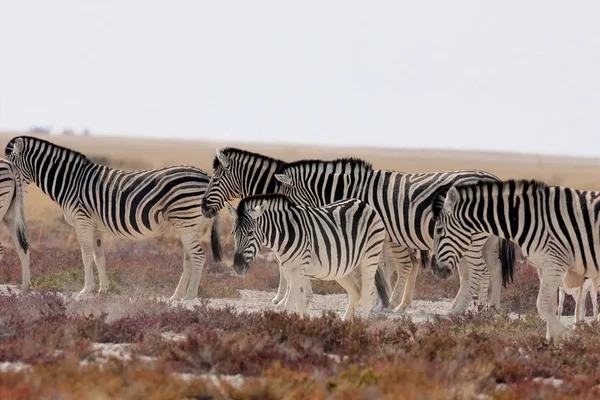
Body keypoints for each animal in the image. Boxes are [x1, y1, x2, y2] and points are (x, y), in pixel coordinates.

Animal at [4, 137, 223, 300]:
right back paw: (176, 296)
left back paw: (190, 297)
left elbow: (86, 255)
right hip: (188, 224)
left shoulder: (82, 221)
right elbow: (98, 256)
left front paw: (85, 290)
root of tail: (206, 176)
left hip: (186, 221)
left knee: (198, 256)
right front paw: (103, 290)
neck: (70, 181)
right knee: (189, 258)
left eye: (8, 161)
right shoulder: (96, 225)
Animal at [226, 192, 390, 320]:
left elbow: (290, 302)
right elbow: (298, 300)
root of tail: (363, 203)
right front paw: (304, 323)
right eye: (233, 233)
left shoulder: (298, 269)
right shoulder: (290, 270)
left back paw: (361, 326)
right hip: (342, 267)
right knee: (356, 293)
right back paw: (346, 325)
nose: (238, 267)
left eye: (250, 233)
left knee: (367, 294)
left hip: (370, 256)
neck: (285, 232)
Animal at [428, 180, 600, 340]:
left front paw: (570, 336)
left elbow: (542, 306)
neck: (530, 218)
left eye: (439, 230)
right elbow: (550, 306)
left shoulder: (555, 261)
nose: (435, 269)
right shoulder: (544, 265)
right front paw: (552, 342)